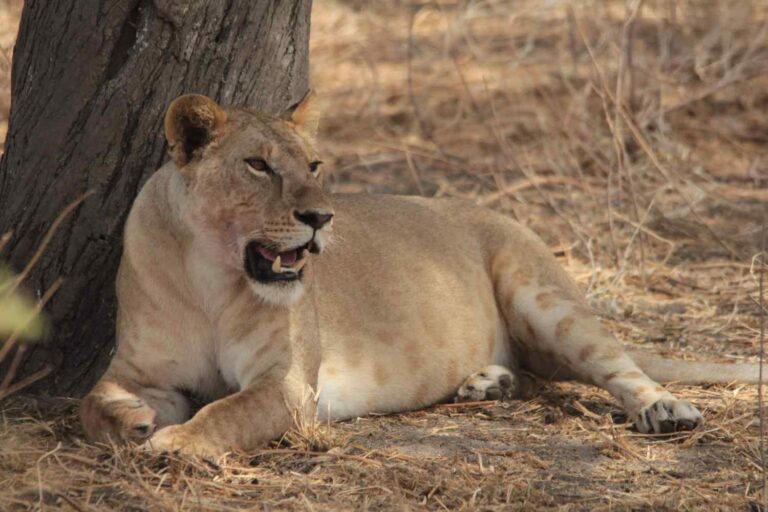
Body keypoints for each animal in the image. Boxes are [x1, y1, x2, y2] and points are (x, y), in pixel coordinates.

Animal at [80, 92, 762, 458]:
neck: (211, 277)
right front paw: (137, 420)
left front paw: (175, 443)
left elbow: (227, 412)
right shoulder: (139, 370)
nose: (321, 217)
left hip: (543, 298)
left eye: (314, 164)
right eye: (258, 166)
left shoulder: (289, 386)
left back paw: (665, 408)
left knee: (619, 366)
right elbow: (92, 402)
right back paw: (488, 382)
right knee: (538, 375)